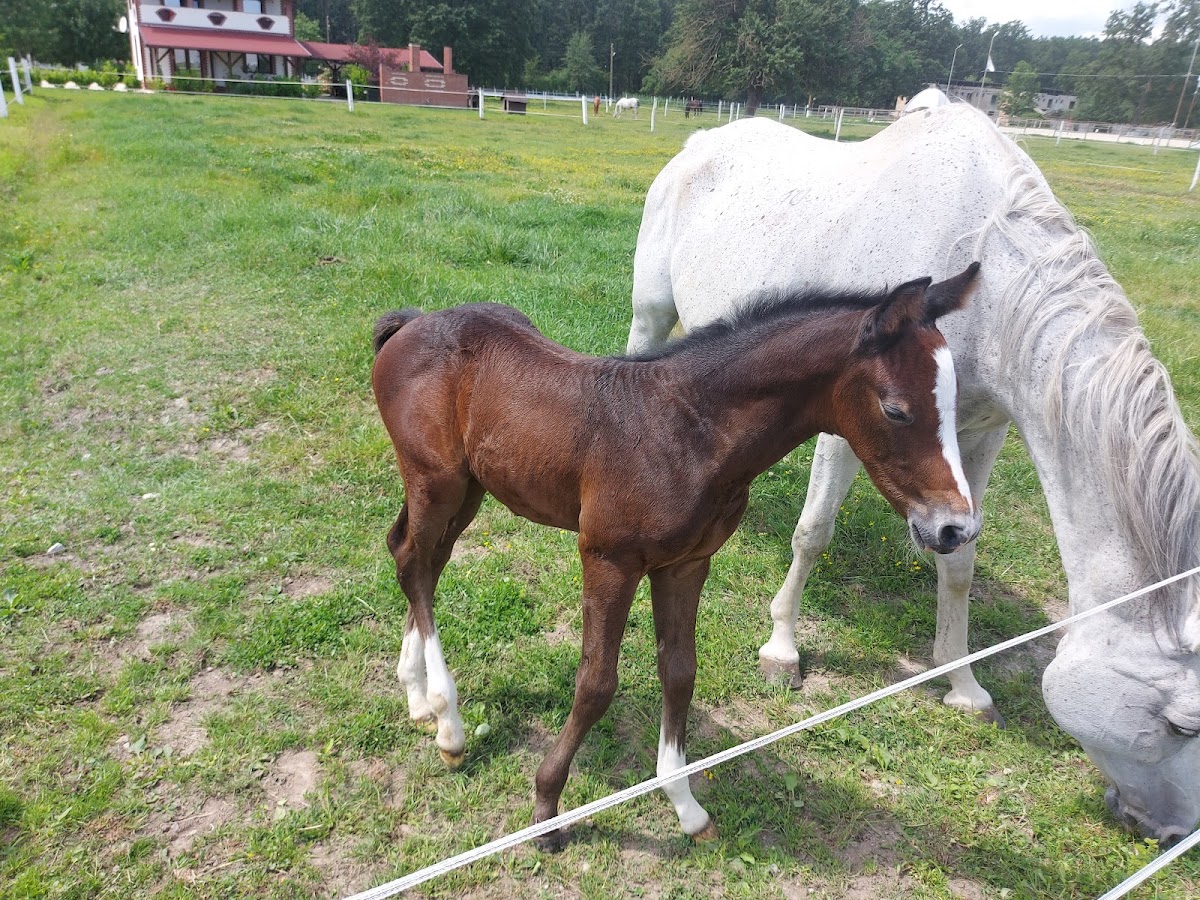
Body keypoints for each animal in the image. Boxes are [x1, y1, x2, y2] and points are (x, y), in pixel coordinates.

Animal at [372, 268, 980, 849]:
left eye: (956, 407)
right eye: (896, 410)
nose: (956, 527)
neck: (689, 432)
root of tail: (412, 322)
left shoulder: (687, 563)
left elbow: (680, 673)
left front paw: (686, 807)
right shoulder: (608, 559)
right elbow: (596, 683)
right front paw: (546, 808)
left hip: (469, 488)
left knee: (418, 559)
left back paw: (418, 697)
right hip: (436, 480)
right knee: (415, 562)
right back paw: (448, 724)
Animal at [626, 104, 1200, 848]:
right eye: (1178, 723)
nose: (1173, 833)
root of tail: (702, 141)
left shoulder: (979, 434)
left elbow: (960, 564)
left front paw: (963, 684)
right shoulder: (846, 424)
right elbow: (814, 532)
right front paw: (782, 649)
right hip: (650, 313)